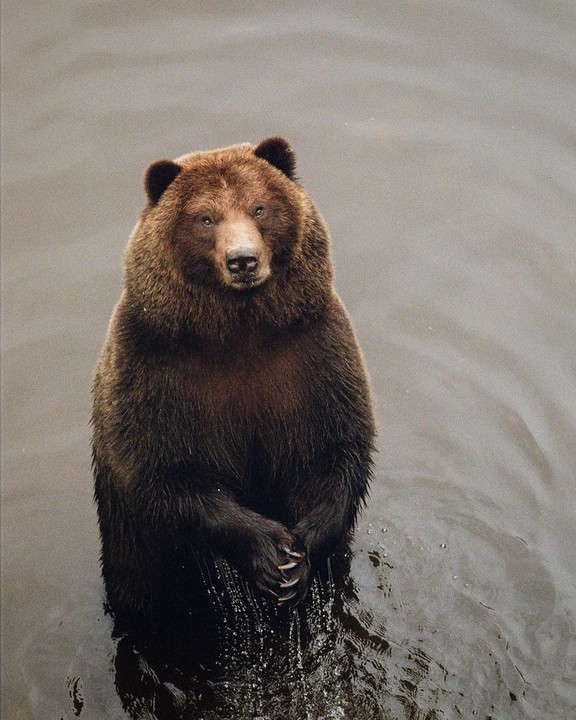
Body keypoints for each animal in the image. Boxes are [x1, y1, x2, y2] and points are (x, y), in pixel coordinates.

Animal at [91, 137, 375, 624]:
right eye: (205, 217)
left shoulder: (313, 352)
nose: (243, 260)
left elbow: (336, 446)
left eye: (259, 207)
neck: (239, 332)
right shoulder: (153, 370)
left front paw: (300, 556)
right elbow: (165, 473)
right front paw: (270, 553)